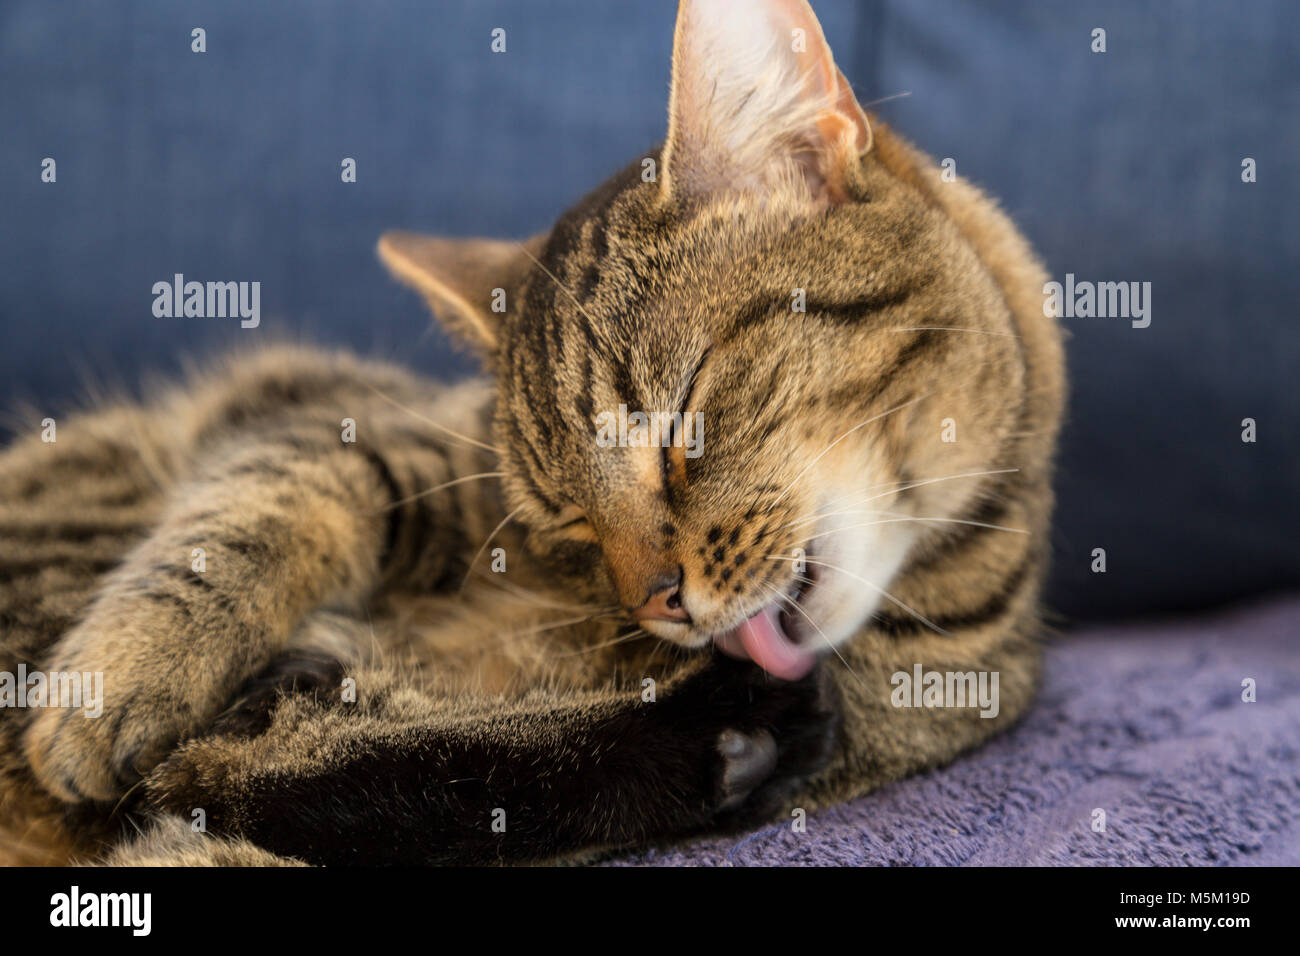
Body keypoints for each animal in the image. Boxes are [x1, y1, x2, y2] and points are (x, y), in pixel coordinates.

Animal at [0, 0, 1060, 868]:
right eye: (569, 521)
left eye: (679, 428)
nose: (657, 602)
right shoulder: (374, 437)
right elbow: (250, 514)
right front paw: (120, 686)